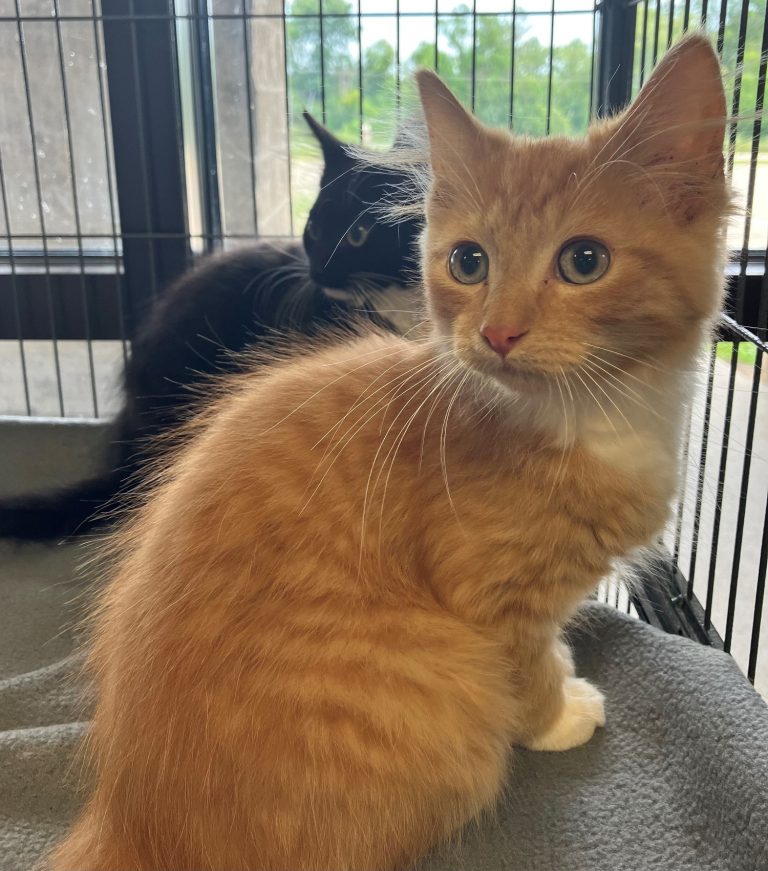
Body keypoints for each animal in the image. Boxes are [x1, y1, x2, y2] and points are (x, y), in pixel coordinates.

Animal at [50, 35, 728, 871]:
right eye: (468, 262)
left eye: (585, 260)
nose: (497, 333)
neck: (589, 413)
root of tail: (131, 819)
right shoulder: (490, 596)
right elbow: (525, 661)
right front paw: (555, 712)